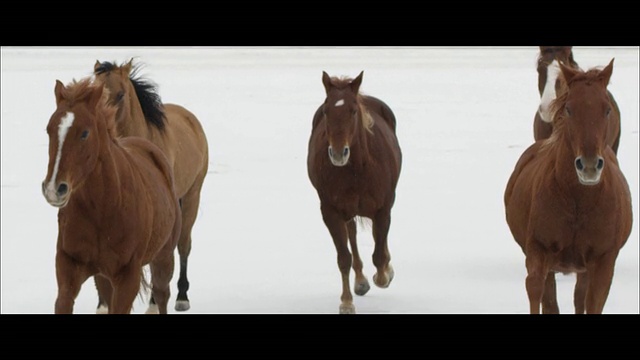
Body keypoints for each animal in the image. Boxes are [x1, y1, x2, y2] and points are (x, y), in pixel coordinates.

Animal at [41, 78, 182, 312]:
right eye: (49, 130)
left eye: (85, 133)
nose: (53, 188)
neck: (103, 209)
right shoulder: (69, 268)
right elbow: (64, 300)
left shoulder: (127, 277)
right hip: (103, 277)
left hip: (163, 257)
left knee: (162, 294)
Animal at [92, 59, 209, 312]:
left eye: (120, 95)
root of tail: (190, 118)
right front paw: (102, 303)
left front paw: (154, 304)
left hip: (191, 197)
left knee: (183, 245)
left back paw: (181, 297)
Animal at [308, 71, 402, 314]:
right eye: (326, 110)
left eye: (352, 111)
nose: (338, 153)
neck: (358, 171)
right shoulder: (330, 212)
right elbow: (344, 258)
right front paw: (347, 302)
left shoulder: (383, 208)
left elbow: (379, 255)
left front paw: (384, 275)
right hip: (347, 210)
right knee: (352, 234)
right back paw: (360, 281)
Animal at [504, 58, 636, 312]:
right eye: (569, 109)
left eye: (607, 109)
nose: (589, 165)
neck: (578, 202)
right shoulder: (538, 253)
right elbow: (538, 295)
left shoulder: (603, 263)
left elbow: (590, 302)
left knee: (578, 297)